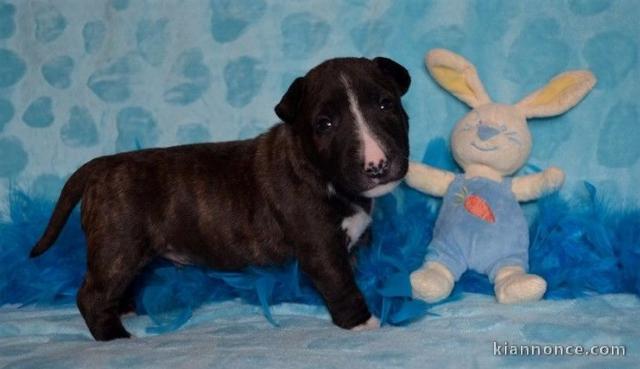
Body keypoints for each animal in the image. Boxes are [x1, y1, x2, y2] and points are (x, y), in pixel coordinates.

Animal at [31, 56, 410, 340]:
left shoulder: (357, 241)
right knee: (91, 295)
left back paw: (124, 310)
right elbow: (340, 283)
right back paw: (114, 336)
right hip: (117, 245)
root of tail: (101, 165)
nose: (376, 165)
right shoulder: (320, 247)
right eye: (325, 124)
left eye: (385, 104)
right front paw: (361, 321)